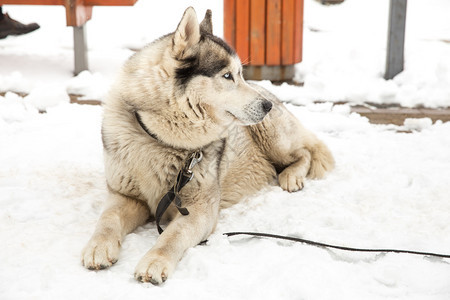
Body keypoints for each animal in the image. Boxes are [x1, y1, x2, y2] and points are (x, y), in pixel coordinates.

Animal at [81, 6, 334, 284]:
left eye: (240, 74)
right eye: (227, 76)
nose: (266, 106)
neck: (158, 140)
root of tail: (270, 94)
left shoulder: (199, 210)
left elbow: (171, 237)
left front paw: (155, 261)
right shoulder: (125, 196)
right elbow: (107, 219)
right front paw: (98, 246)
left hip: (272, 136)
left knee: (305, 152)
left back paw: (292, 177)